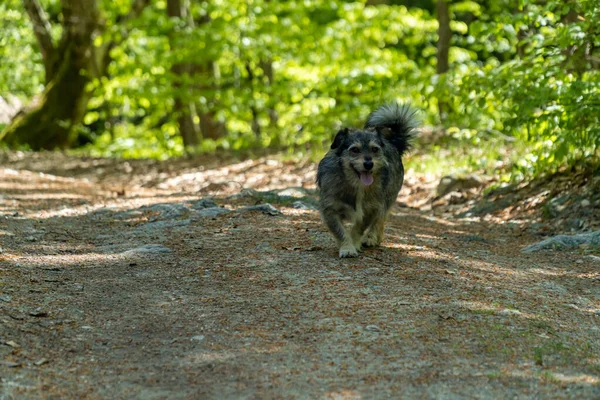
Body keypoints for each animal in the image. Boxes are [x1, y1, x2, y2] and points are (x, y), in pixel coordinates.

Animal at [316, 103, 420, 258]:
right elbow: (340, 231)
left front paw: (354, 243)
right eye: (355, 150)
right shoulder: (330, 209)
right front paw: (347, 248)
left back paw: (371, 237)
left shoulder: (370, 210)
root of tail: (394, 143)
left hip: (386, 199)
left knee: (381, 219)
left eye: (375, 149)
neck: (357, 185)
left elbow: (358, 228)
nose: (369, 164)